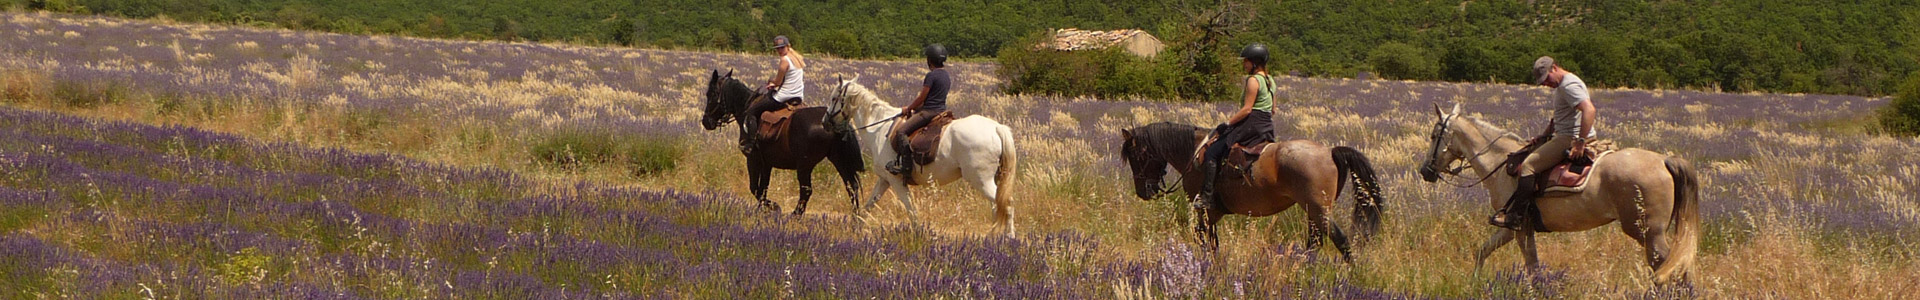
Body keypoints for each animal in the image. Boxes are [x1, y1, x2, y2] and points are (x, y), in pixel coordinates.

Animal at [698, 69, 864, 215]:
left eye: (711, 94)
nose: (706, 122)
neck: (746, 109)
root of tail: (832, 122)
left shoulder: (753, 159)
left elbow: (754, 188)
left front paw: (774, 207)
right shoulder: (767, 163)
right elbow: (763, 188)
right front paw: (763, 210)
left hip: (805, 165)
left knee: (806, 191)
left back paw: (795, 215)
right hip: (838, 159)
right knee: (851, 186)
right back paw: (856, 218)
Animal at [1121, 120, 1390, 261]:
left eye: (1135, 156)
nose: (1143, 191)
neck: (1195, 154)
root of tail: (1329, 151)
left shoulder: (1205, 211)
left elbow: (1203, 238)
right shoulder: (1214, 214)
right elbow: (1211, 241)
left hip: (1318, 210)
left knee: (1341, 240)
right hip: (1313, 212)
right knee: (1314, 243)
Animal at [1420, 102, 1704, 282]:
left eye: (1434, 135)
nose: (1425, 171)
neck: (1501, 165)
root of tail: (1664, 160)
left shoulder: (1519, 227)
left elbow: (1532, 267)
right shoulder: (1511, 228)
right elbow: (1483, 252)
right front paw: (1475, 282)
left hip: (1648, 233)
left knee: (1672, 269)